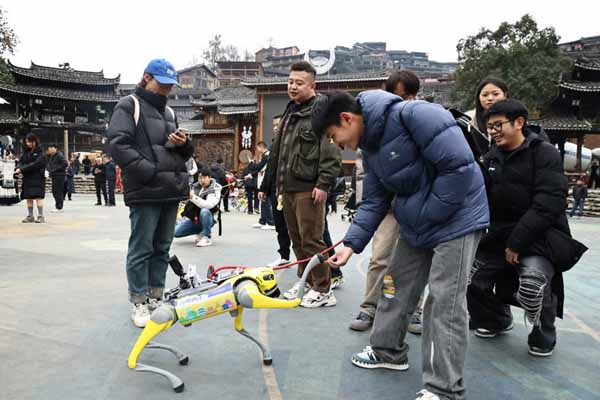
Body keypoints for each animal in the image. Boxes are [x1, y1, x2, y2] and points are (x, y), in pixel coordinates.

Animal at [126, 253, 324, 390]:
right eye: (268, 278)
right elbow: (289, 302)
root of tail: (164, 304)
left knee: (146, 344)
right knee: (132, 361)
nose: (276, 292)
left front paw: (266, 355)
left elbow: (240, 329)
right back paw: (174, 381)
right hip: (163, 317)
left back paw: (176, 355)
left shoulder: (239, 304)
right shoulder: (247, 295)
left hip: (163, 320)